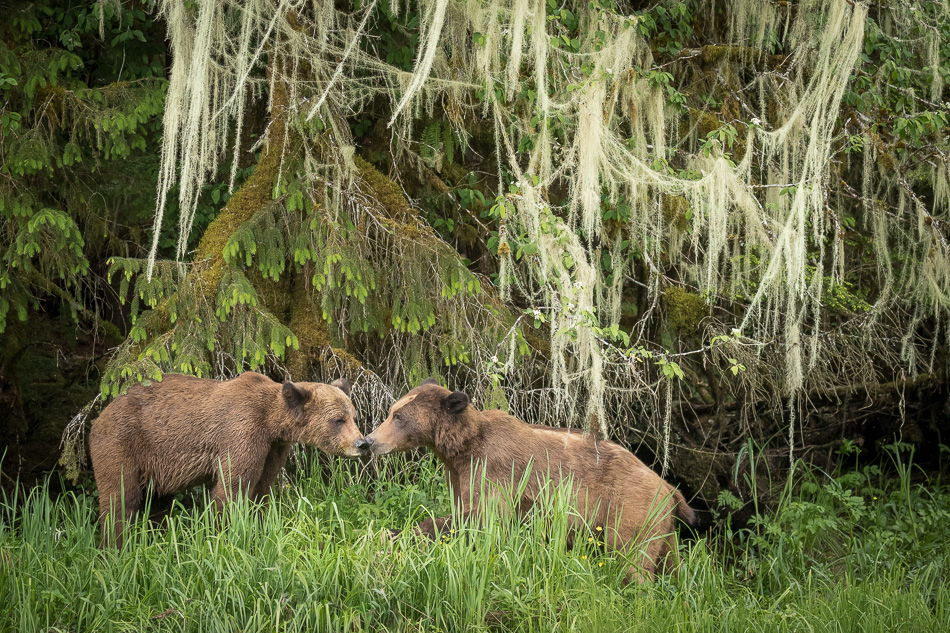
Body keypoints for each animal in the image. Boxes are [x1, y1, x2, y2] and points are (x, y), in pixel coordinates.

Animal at [89, 371, 367, 546]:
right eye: (337, 420)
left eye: (353, 416)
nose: (362, 444)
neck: (272, 424)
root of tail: (100, 415)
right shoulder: (242, 433)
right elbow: (232, 487)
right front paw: (225, 537)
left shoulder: (273, 449)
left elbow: (261, 489)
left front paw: (258, 528)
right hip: (123, 444)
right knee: (121, 497)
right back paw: (115, 548)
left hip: (158, 466)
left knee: (159, 504)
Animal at [364, 379, 697, 581]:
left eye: (398, 416)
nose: (370, 440)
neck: (460, 448)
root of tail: (668, 486)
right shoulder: (458, 475)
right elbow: (464, 512)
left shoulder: (493, 467)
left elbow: (483, 516)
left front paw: (396, 532)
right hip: (661, 522)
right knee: (670, 561)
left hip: (629, 507)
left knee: (632, 558)